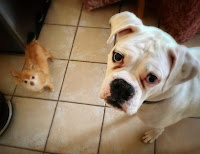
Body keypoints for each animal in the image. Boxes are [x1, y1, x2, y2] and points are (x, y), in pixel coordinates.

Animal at [100, 11, 200, 144]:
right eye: (117, 56)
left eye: (152, 78)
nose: (122, 87)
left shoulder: (160, 124)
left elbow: (158, 130)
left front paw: (151, 136)